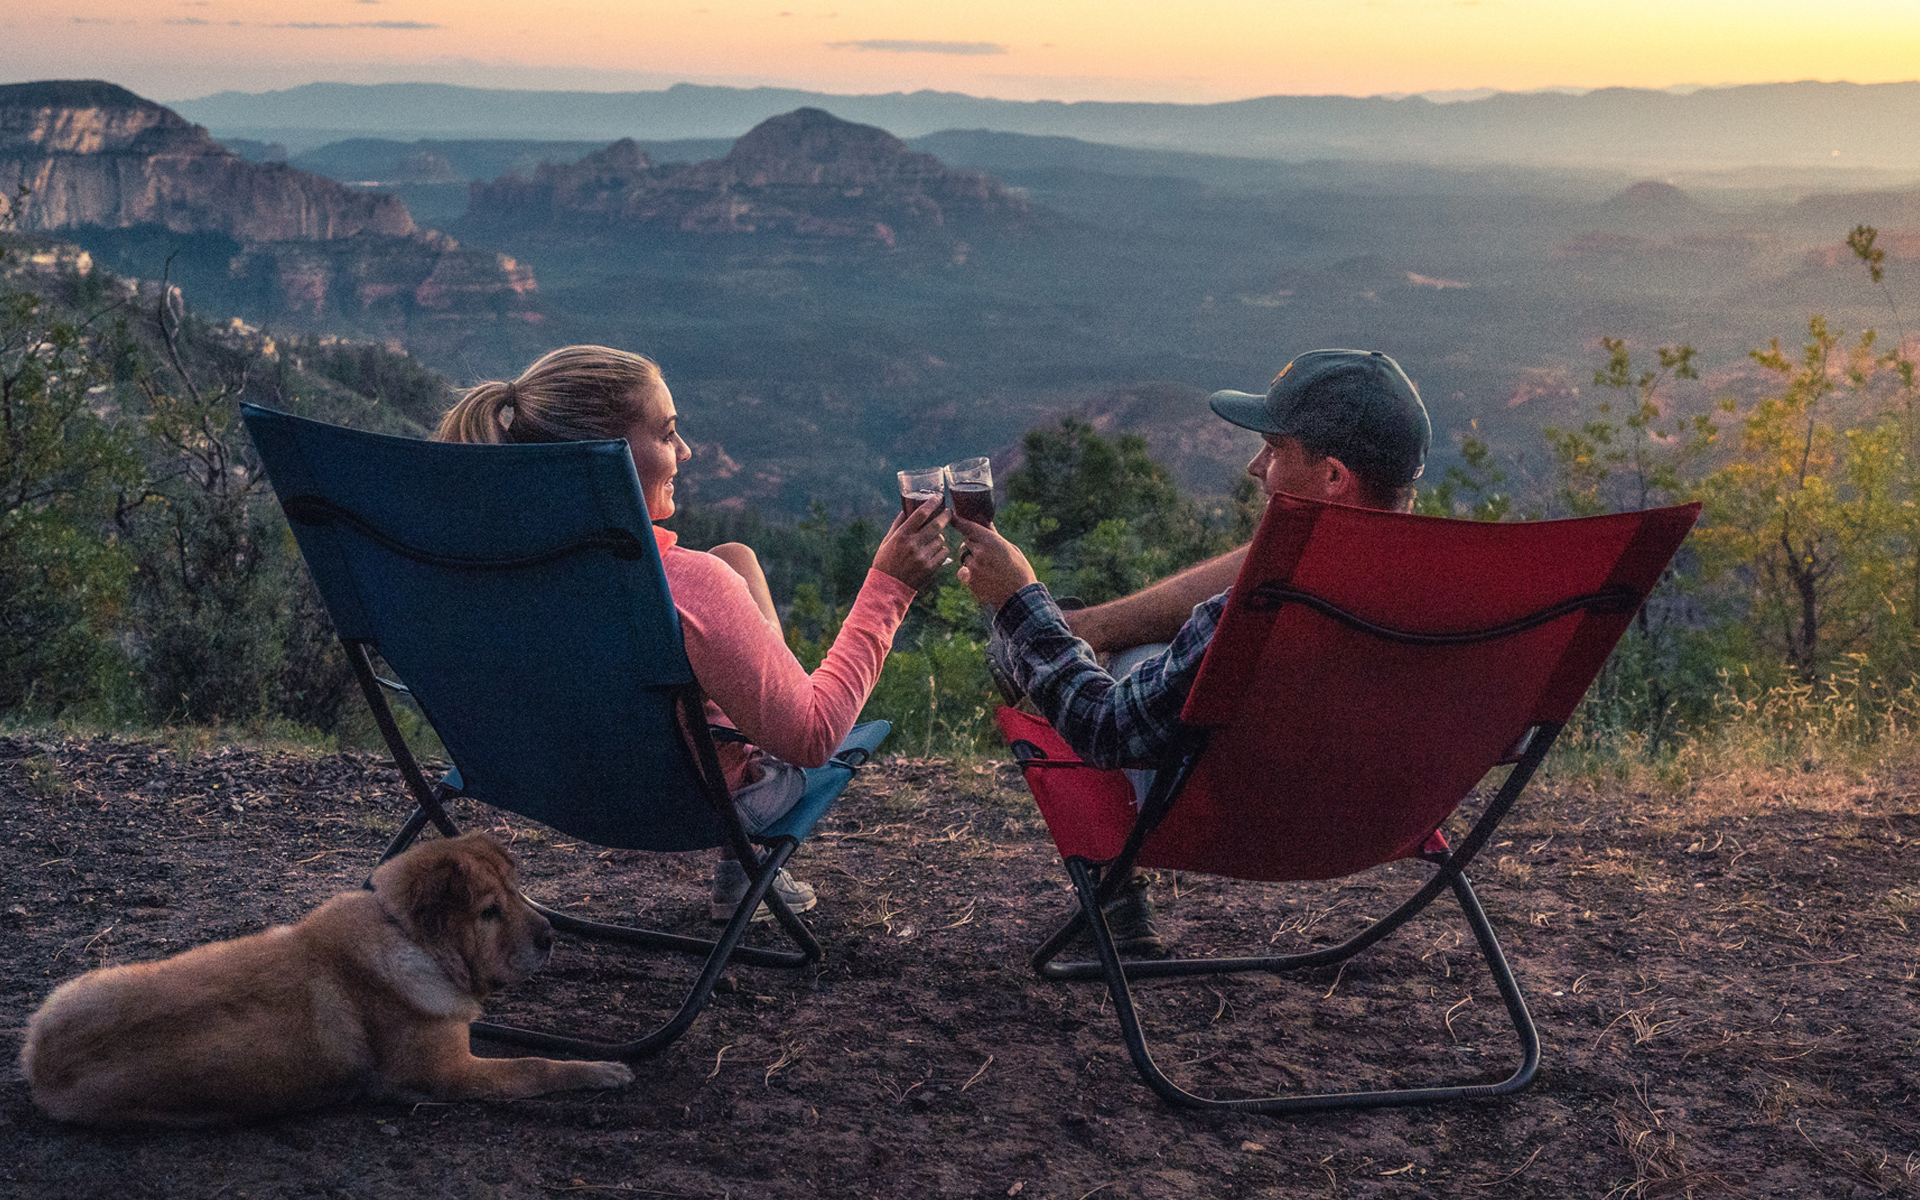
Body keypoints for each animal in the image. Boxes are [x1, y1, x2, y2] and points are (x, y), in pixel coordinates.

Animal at [18, 833, 633, 1121]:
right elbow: (535, 1065)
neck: (409, 939)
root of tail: (40, 1061)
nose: (550, 937)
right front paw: (603, 1070)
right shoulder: (447, 1074)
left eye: (517, 891)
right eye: (488, 912)